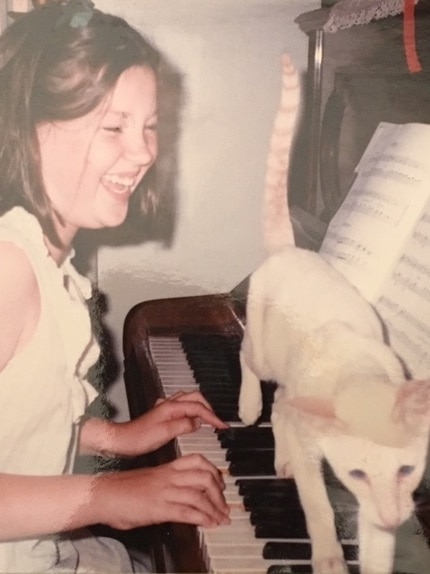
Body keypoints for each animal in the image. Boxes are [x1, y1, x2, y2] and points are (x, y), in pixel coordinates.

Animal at [237, 54, 430, 574]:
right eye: (357, 473)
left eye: (408, 470)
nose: (393, 514)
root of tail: (292, 249)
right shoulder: (315, 456)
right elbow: (319, 508)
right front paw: (326, 558)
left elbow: (378, 550)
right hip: (263, 350)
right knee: (249, 363)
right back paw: (248, 406)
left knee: (282, 404)